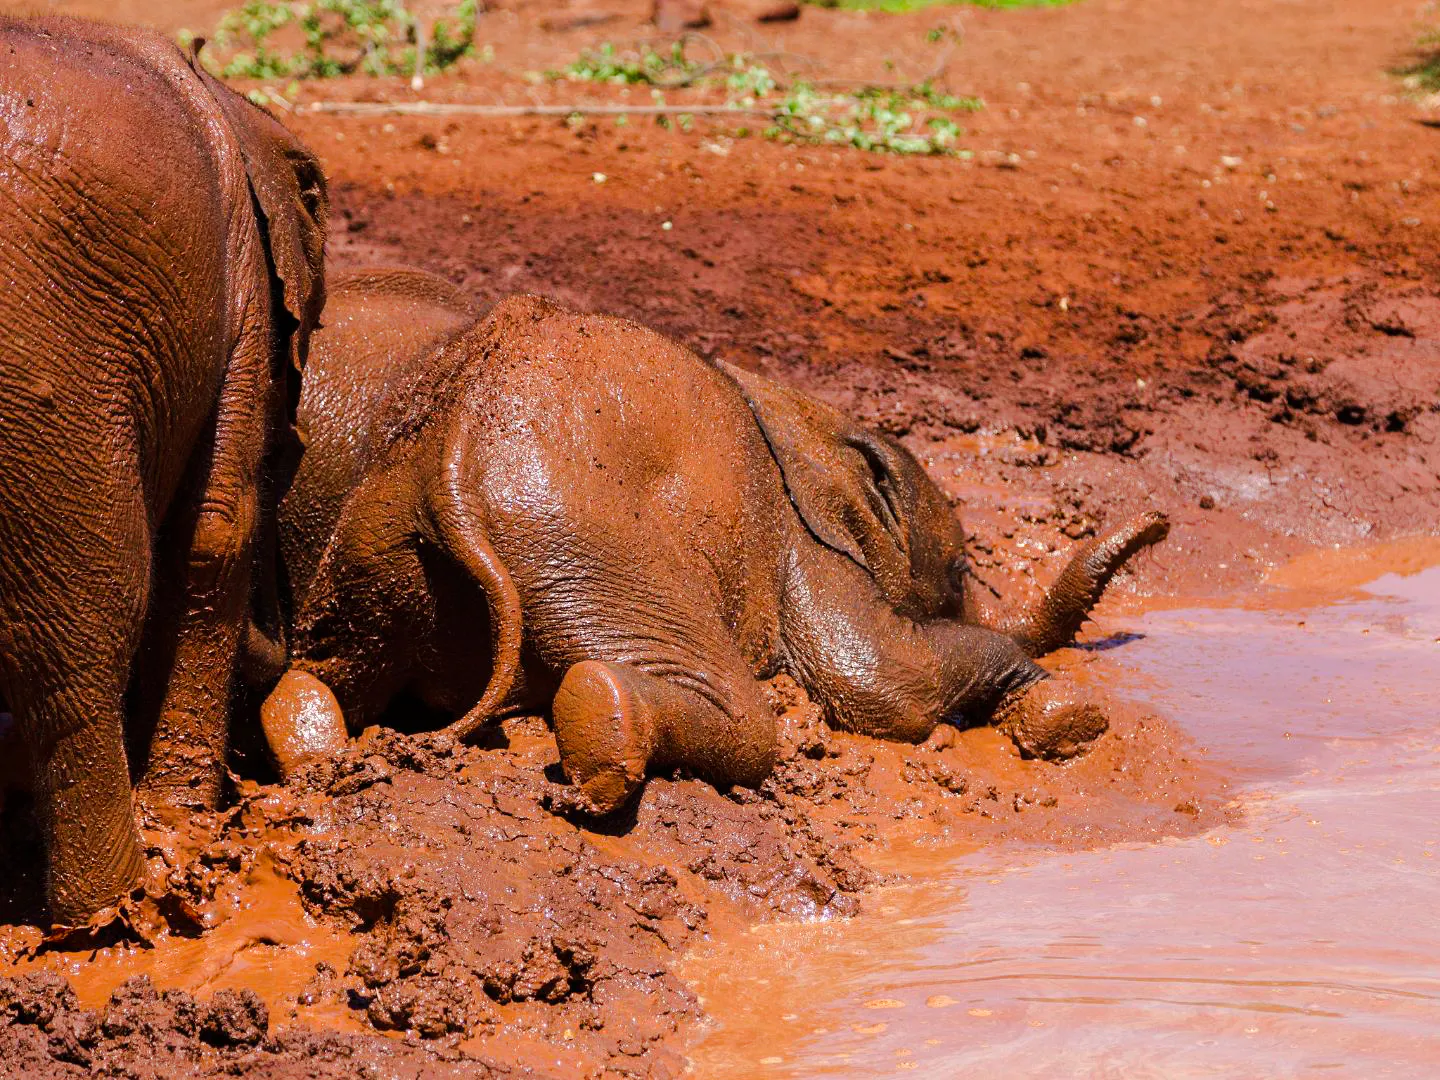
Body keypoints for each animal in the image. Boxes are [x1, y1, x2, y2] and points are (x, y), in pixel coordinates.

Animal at [0, 17, 327, 922]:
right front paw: (186, 827)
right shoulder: (243, 283)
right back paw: (111, 914)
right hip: (49, 377)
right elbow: (216, 536)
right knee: (76, 641)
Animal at [260, 290, 1167, 816]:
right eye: (956, 577)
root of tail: (445, 455)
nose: (1157, 522)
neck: (805, 411)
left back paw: (311, 746)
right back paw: (602, 737)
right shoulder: (801, 539)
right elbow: (884, 683)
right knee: (752, 726)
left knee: (333, 672)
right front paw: (1076, 719)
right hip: (595, 545)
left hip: (381, 551)